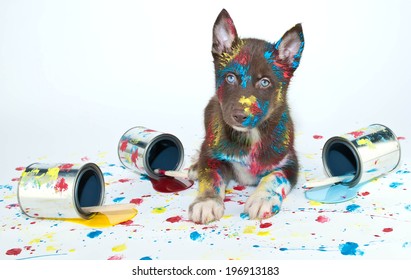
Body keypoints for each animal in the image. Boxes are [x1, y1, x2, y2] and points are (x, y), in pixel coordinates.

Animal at [188, 8, 304, 223]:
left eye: (265, 82)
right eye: (230, 77)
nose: (239, 116)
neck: (251, 136)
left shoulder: (290, 163)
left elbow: (273, 177)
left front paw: (261, 199)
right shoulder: (213, 154)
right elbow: (210, 176)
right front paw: (206, 201)